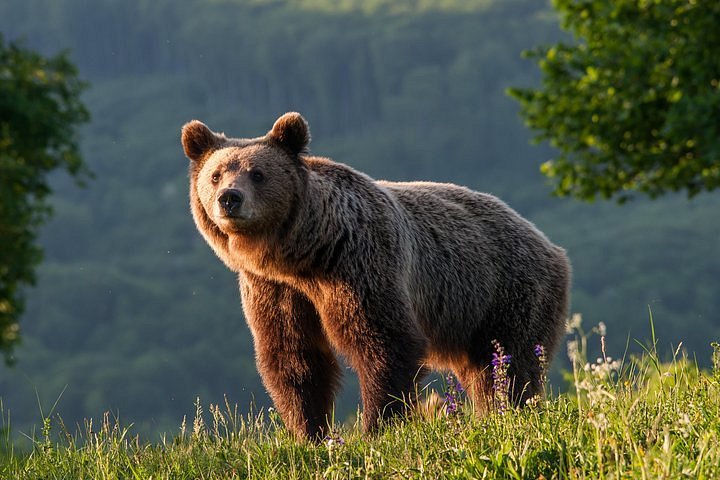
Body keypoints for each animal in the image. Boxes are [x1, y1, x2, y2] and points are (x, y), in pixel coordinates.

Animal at [183, 111, 572, 438]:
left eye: (258, 174)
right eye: (215, 174)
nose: (229, 198)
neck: (305, 254)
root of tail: (550, 244)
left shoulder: (360, 265)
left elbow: (385, 343)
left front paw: (376, 425)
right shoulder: (275, 290)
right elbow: (294, 358)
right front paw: (309, 432)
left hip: (506, 291)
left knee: (510, 363)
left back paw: (511, 411)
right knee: (483, 370)